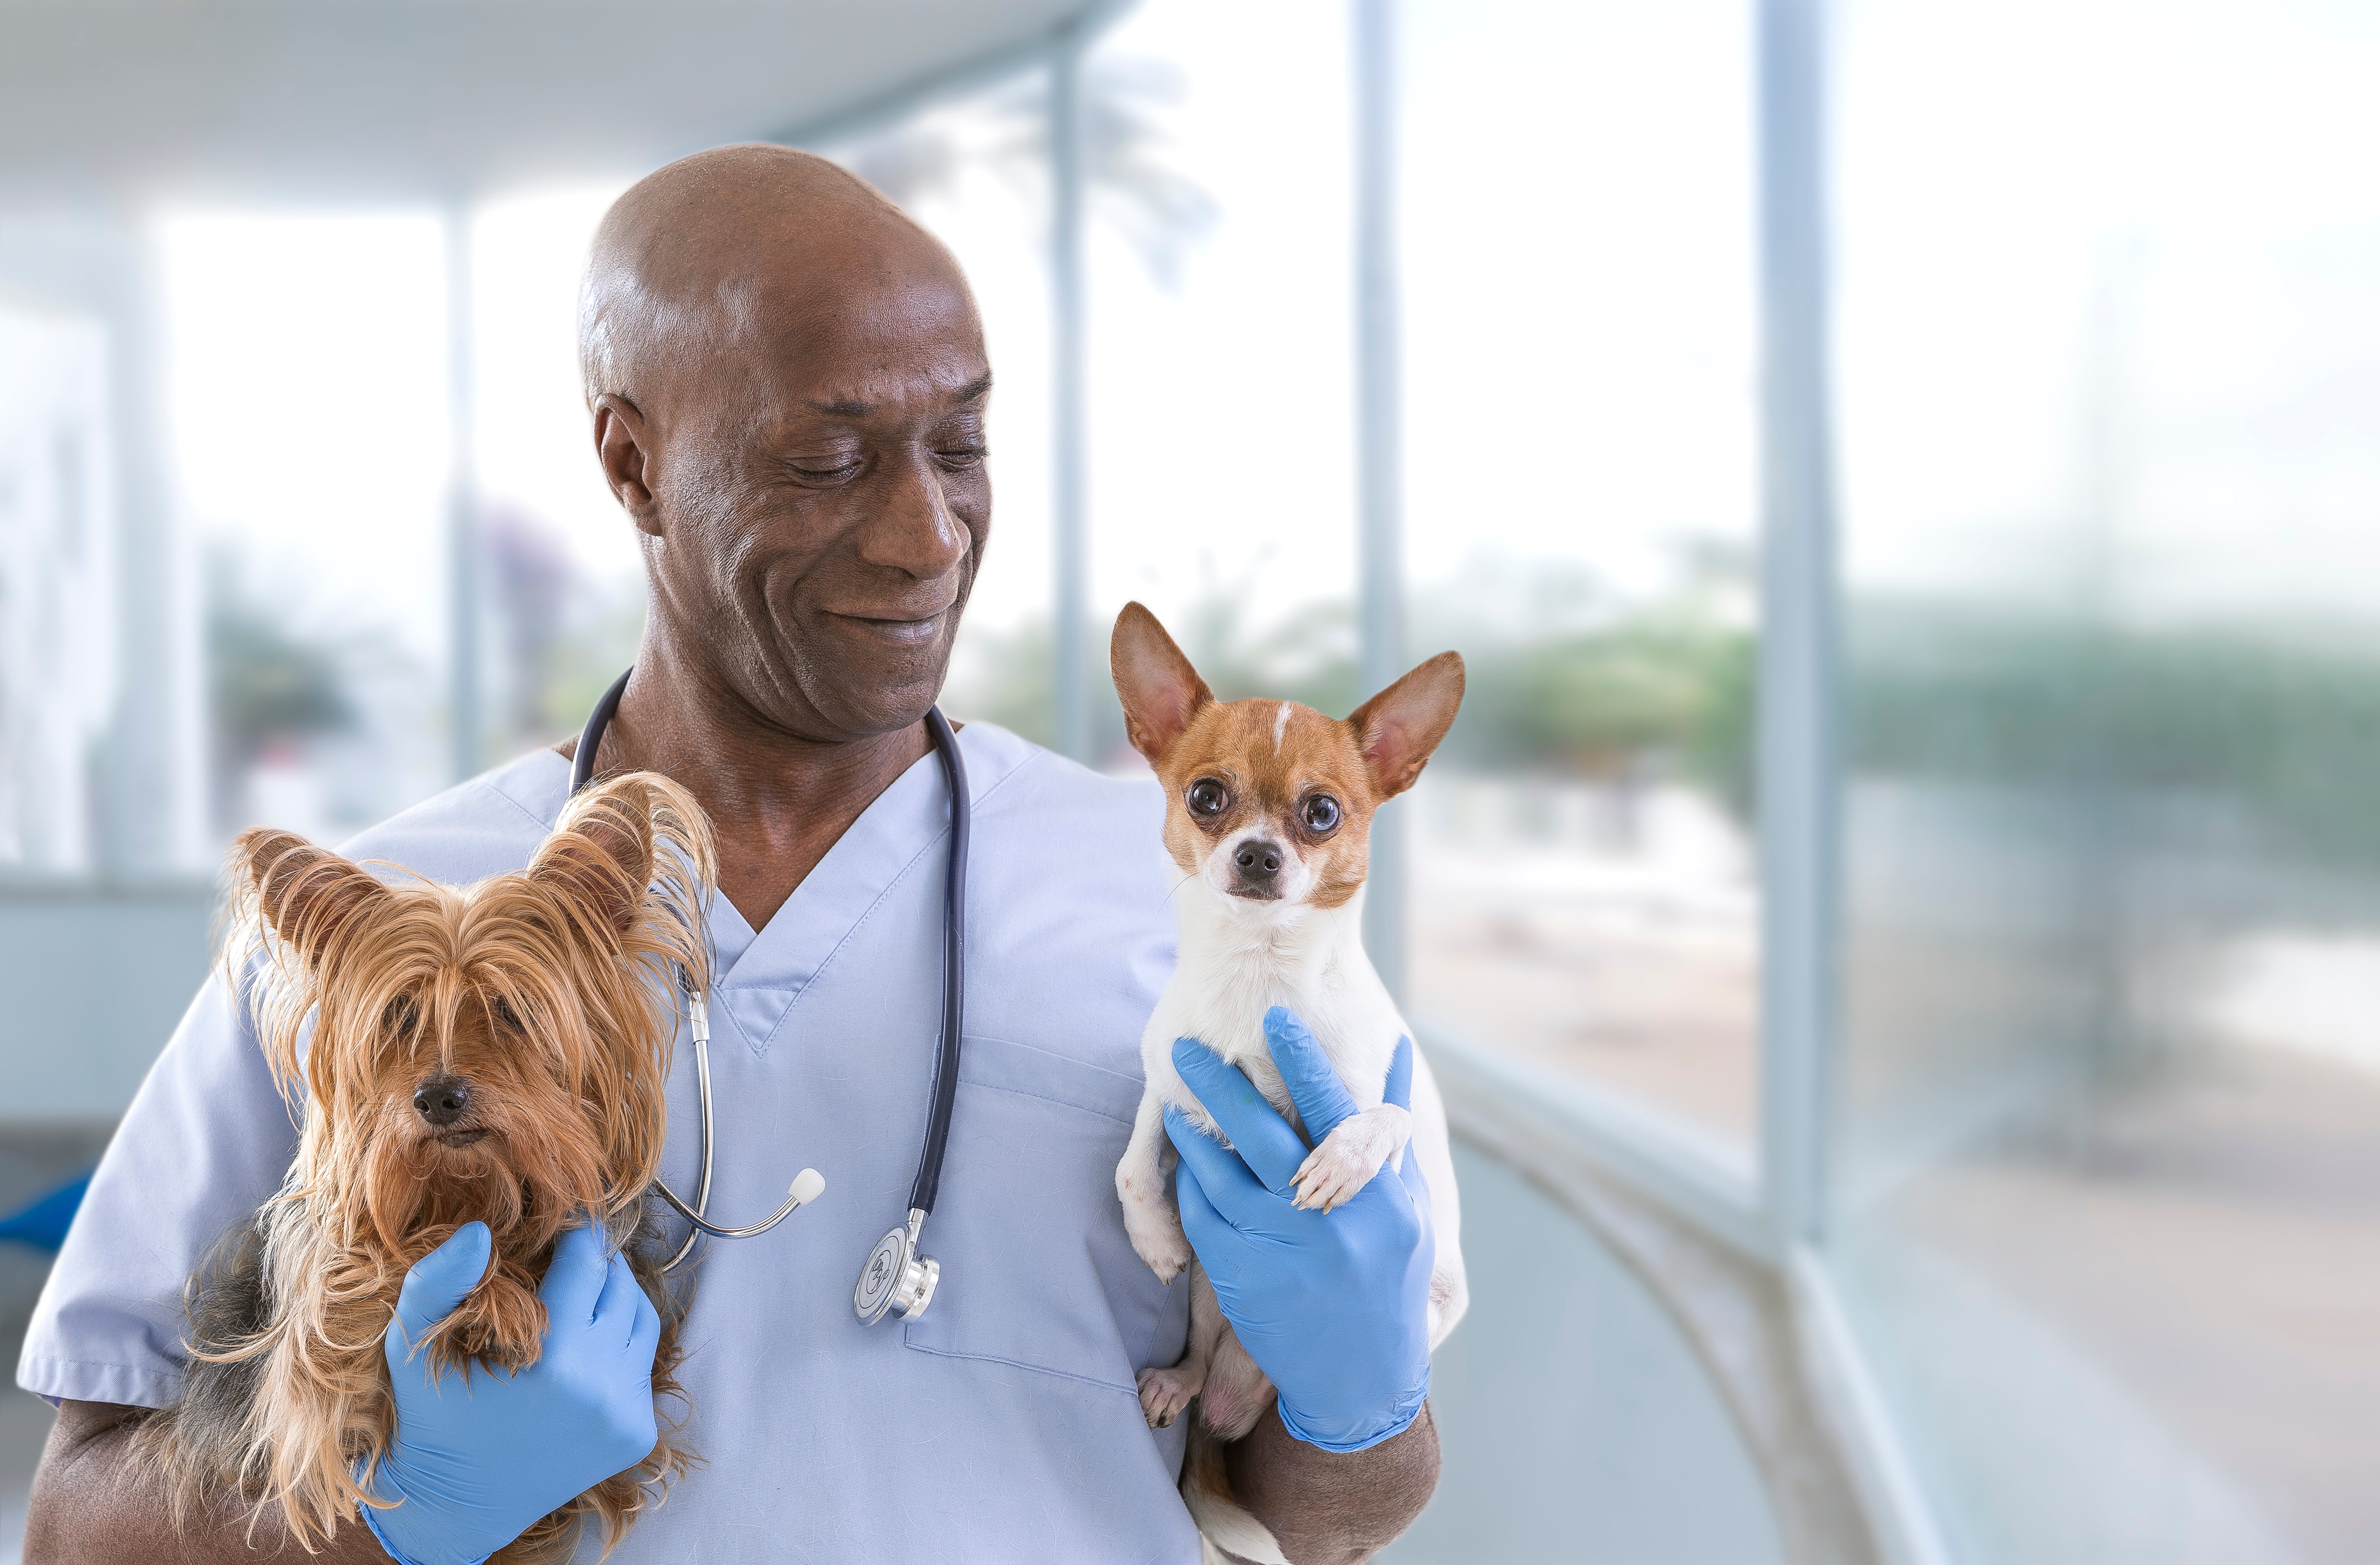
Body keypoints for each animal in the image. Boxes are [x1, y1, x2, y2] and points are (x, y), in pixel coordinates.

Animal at [1109, 604, 1466, 1541]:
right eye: (1206, 795)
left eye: (1322, 811)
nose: (1259, 854)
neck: (1259, 976)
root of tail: (1244, 1390)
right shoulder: (1171, 1084)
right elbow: (1133, 1164)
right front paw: (1157, 1238)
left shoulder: (1381, 1090)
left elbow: (1385, 1117)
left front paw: (1340, 1159)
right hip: (1213, 1300)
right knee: (1201, 1357)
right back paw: (1181, 1380)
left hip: (1431, 1299)